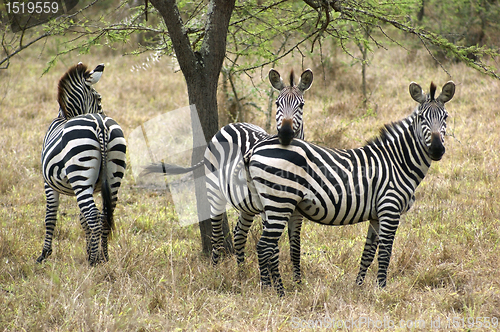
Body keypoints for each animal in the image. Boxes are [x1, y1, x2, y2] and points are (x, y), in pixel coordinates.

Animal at [37, 61, 127, 264]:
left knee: (94, 216)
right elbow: (82, 219)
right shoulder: (94, 187)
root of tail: (100, 124)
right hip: (113, 173)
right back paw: (104, 257)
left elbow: (50, 217)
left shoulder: (48, 183)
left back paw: (93, 261)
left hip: (80, 174)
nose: (102, 111)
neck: (64, 116)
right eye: (100, 100)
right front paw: (90, 250)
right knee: (105, 215)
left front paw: (44, 254)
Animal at [142, 68, 312, 278]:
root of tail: (228, 126)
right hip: (215, 193)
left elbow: (295, 247)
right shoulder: (269, 209)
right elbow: (273, 249)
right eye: (277, 104)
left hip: (246, 204)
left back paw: (241, 275)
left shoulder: (297, 211)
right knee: (217, 237)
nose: (286, 133)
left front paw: (297, 282)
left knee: (239, 234)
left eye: (301, 105)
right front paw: (273, 281)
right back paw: (215, 273)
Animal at [246, 81, 458, 296]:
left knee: (269, 247)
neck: (398, 161)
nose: (437, 150)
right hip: (280, 201)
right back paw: (273, 292)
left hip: (268, 204)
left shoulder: (376, 215)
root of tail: (256, 148)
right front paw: (382, 290)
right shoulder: (390, 208)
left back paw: (273, 288)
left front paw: (359, 286)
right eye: (422, 118)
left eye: (445, 117)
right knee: (264, 246)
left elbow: (368, 253)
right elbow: (385, 253)